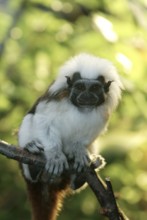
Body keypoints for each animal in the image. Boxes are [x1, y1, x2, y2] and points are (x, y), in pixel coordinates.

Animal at [18, 53, 123, 220]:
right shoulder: (55, 98)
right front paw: (55, 155)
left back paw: (84, 172)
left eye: (94, 88)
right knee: (29, 119)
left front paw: (78, 150)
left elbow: (88, 135)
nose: (86, 96)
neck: (81, 108)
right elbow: (42, 120)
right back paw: (32, 159)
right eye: (80, 87)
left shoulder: (101, 113)